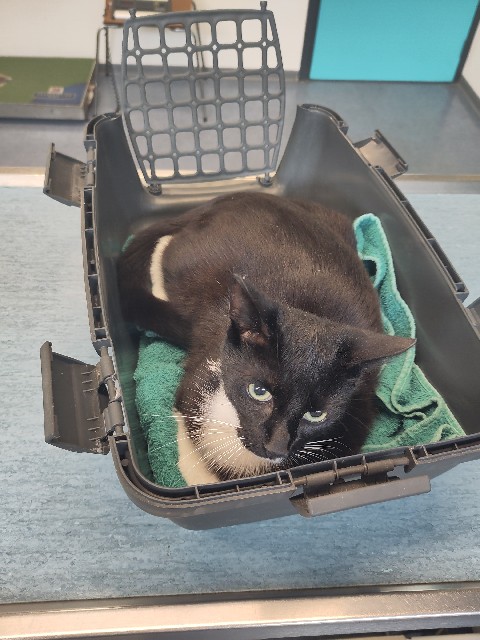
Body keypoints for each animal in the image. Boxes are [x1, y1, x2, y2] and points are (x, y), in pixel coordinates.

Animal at [117, 191, 415, 483]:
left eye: (316, 414)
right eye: (259, 392)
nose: (276, 447)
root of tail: (226, 199)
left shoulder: (357, 413)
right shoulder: (198, 379)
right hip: (189, 265)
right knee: (168, 251)